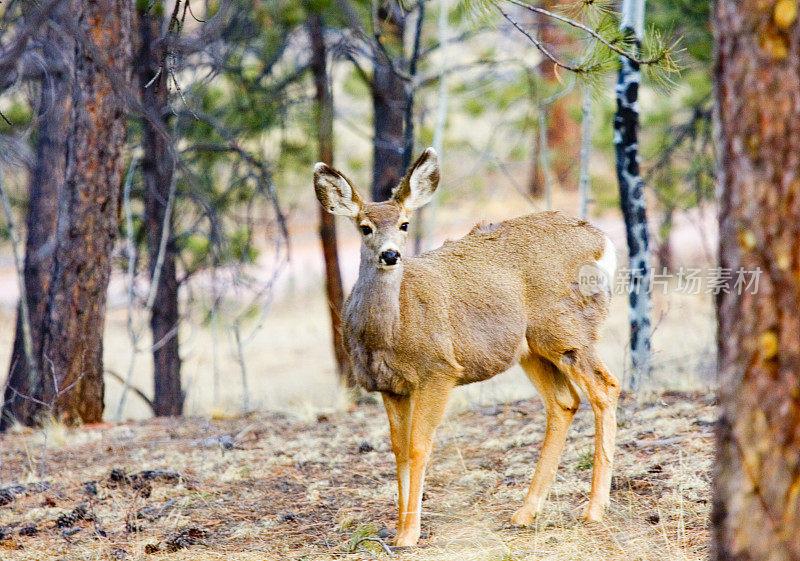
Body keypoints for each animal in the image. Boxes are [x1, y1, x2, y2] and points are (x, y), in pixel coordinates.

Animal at [312, 147, 620, 544]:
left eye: (405, 224)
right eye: (364, 227)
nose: (391, 255)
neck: (388, 332)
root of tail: (602, 243)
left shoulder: (438, 371)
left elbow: (418, 446)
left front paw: (409, 535)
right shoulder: (389, 386)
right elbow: (398, 450)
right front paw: (397, 530)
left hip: (567, 329)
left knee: (605, 387)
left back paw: (594, 509)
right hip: (531, 348)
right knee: (564, 402)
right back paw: (525, 512)